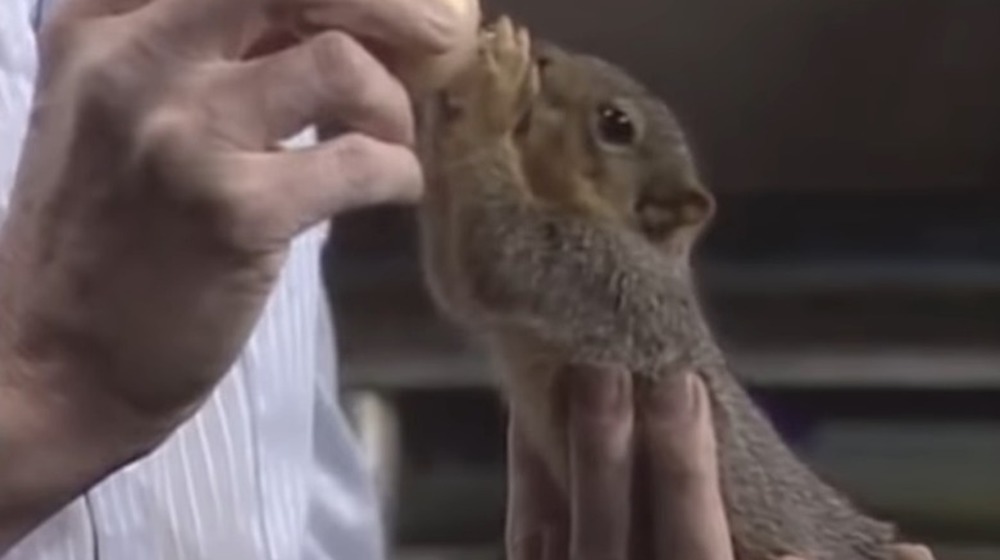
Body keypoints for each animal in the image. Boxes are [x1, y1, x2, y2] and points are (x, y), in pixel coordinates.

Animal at [414, 17, 900, 560]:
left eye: (616, 124)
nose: (542, 55)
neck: (634, 239)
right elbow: (451, 273)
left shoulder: (593, 274)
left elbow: (489, 253)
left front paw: (493, 92)